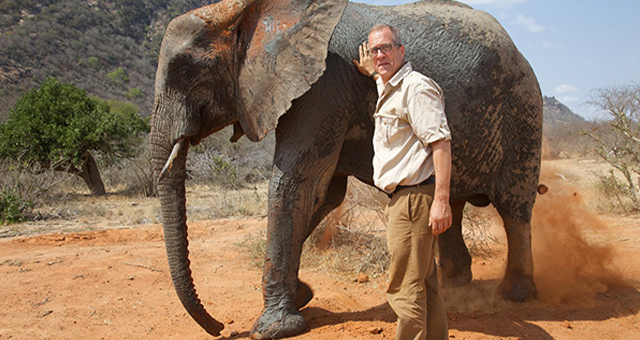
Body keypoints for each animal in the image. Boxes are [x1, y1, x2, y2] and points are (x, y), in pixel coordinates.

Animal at [149, 0, 540, 338]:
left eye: (186, 71)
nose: (219, 328)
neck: (251, 12)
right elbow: (324, 192)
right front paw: (302, 296)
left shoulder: (323, 85)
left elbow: (296, 184)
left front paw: (273, 328)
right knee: (452, 203)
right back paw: (455, 283)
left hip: (521, 112)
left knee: (514, 206)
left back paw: (516, 294)